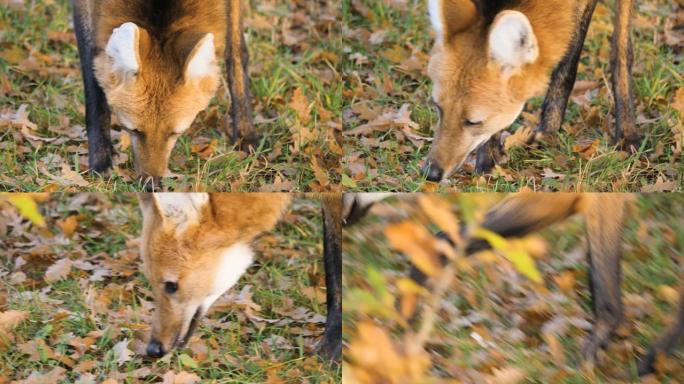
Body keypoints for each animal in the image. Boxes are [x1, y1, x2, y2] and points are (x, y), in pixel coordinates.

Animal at [71, 1, 256, 188]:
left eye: (175, 133)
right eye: (134, 130)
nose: (151, 184)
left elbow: (236, 50)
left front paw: (245, 136)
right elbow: (91, 70)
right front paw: (100, 161)